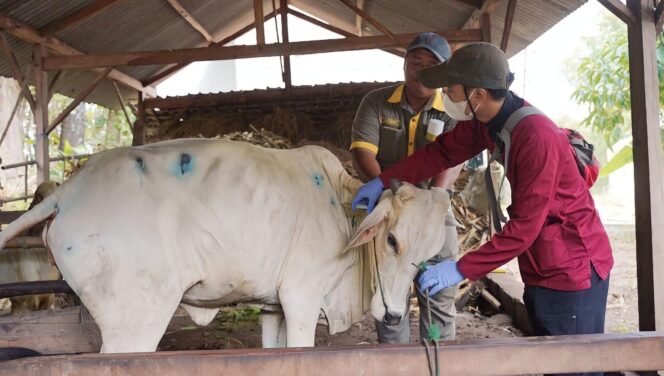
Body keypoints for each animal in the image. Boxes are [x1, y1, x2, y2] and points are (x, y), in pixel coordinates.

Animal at [0, 139, 452, 352]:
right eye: (391, 240)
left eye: (427, 257)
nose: (394, 315)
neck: (342, 207)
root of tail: (65, 193)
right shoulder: (301, 298)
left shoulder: (273, 306)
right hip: (134, 322)